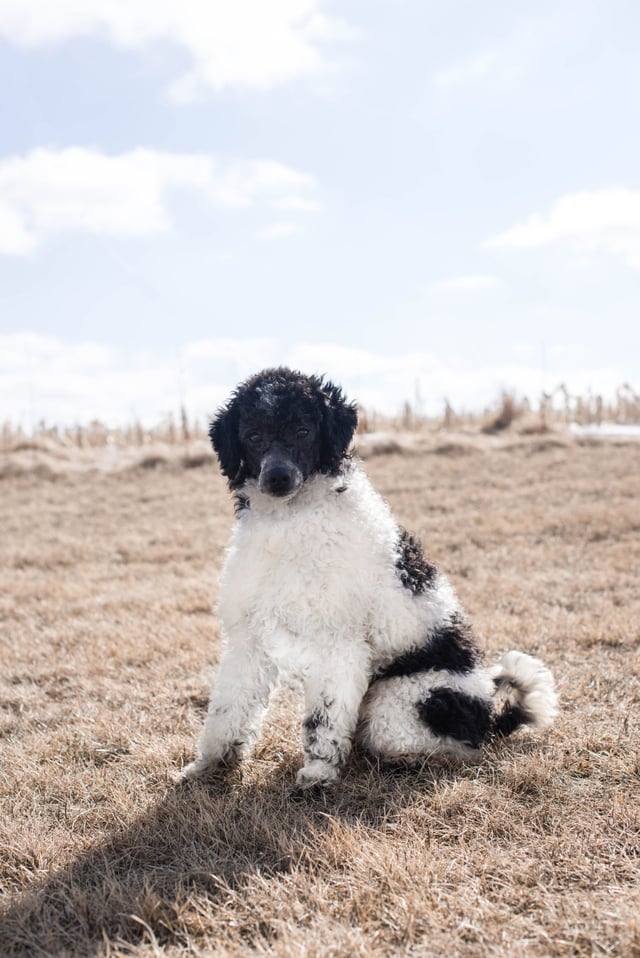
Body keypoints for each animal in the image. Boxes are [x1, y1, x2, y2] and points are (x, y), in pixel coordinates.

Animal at [179, 372, 556, 792]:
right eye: (253, 435)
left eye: (303, 430)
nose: (277, 477)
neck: (292, 522)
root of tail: (489, 720)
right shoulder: (248, 639)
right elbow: (227, 710)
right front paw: (209, 767)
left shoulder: (338, 644)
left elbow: (323, 719)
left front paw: (317, 776)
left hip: (405, 701)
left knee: (439, 745)